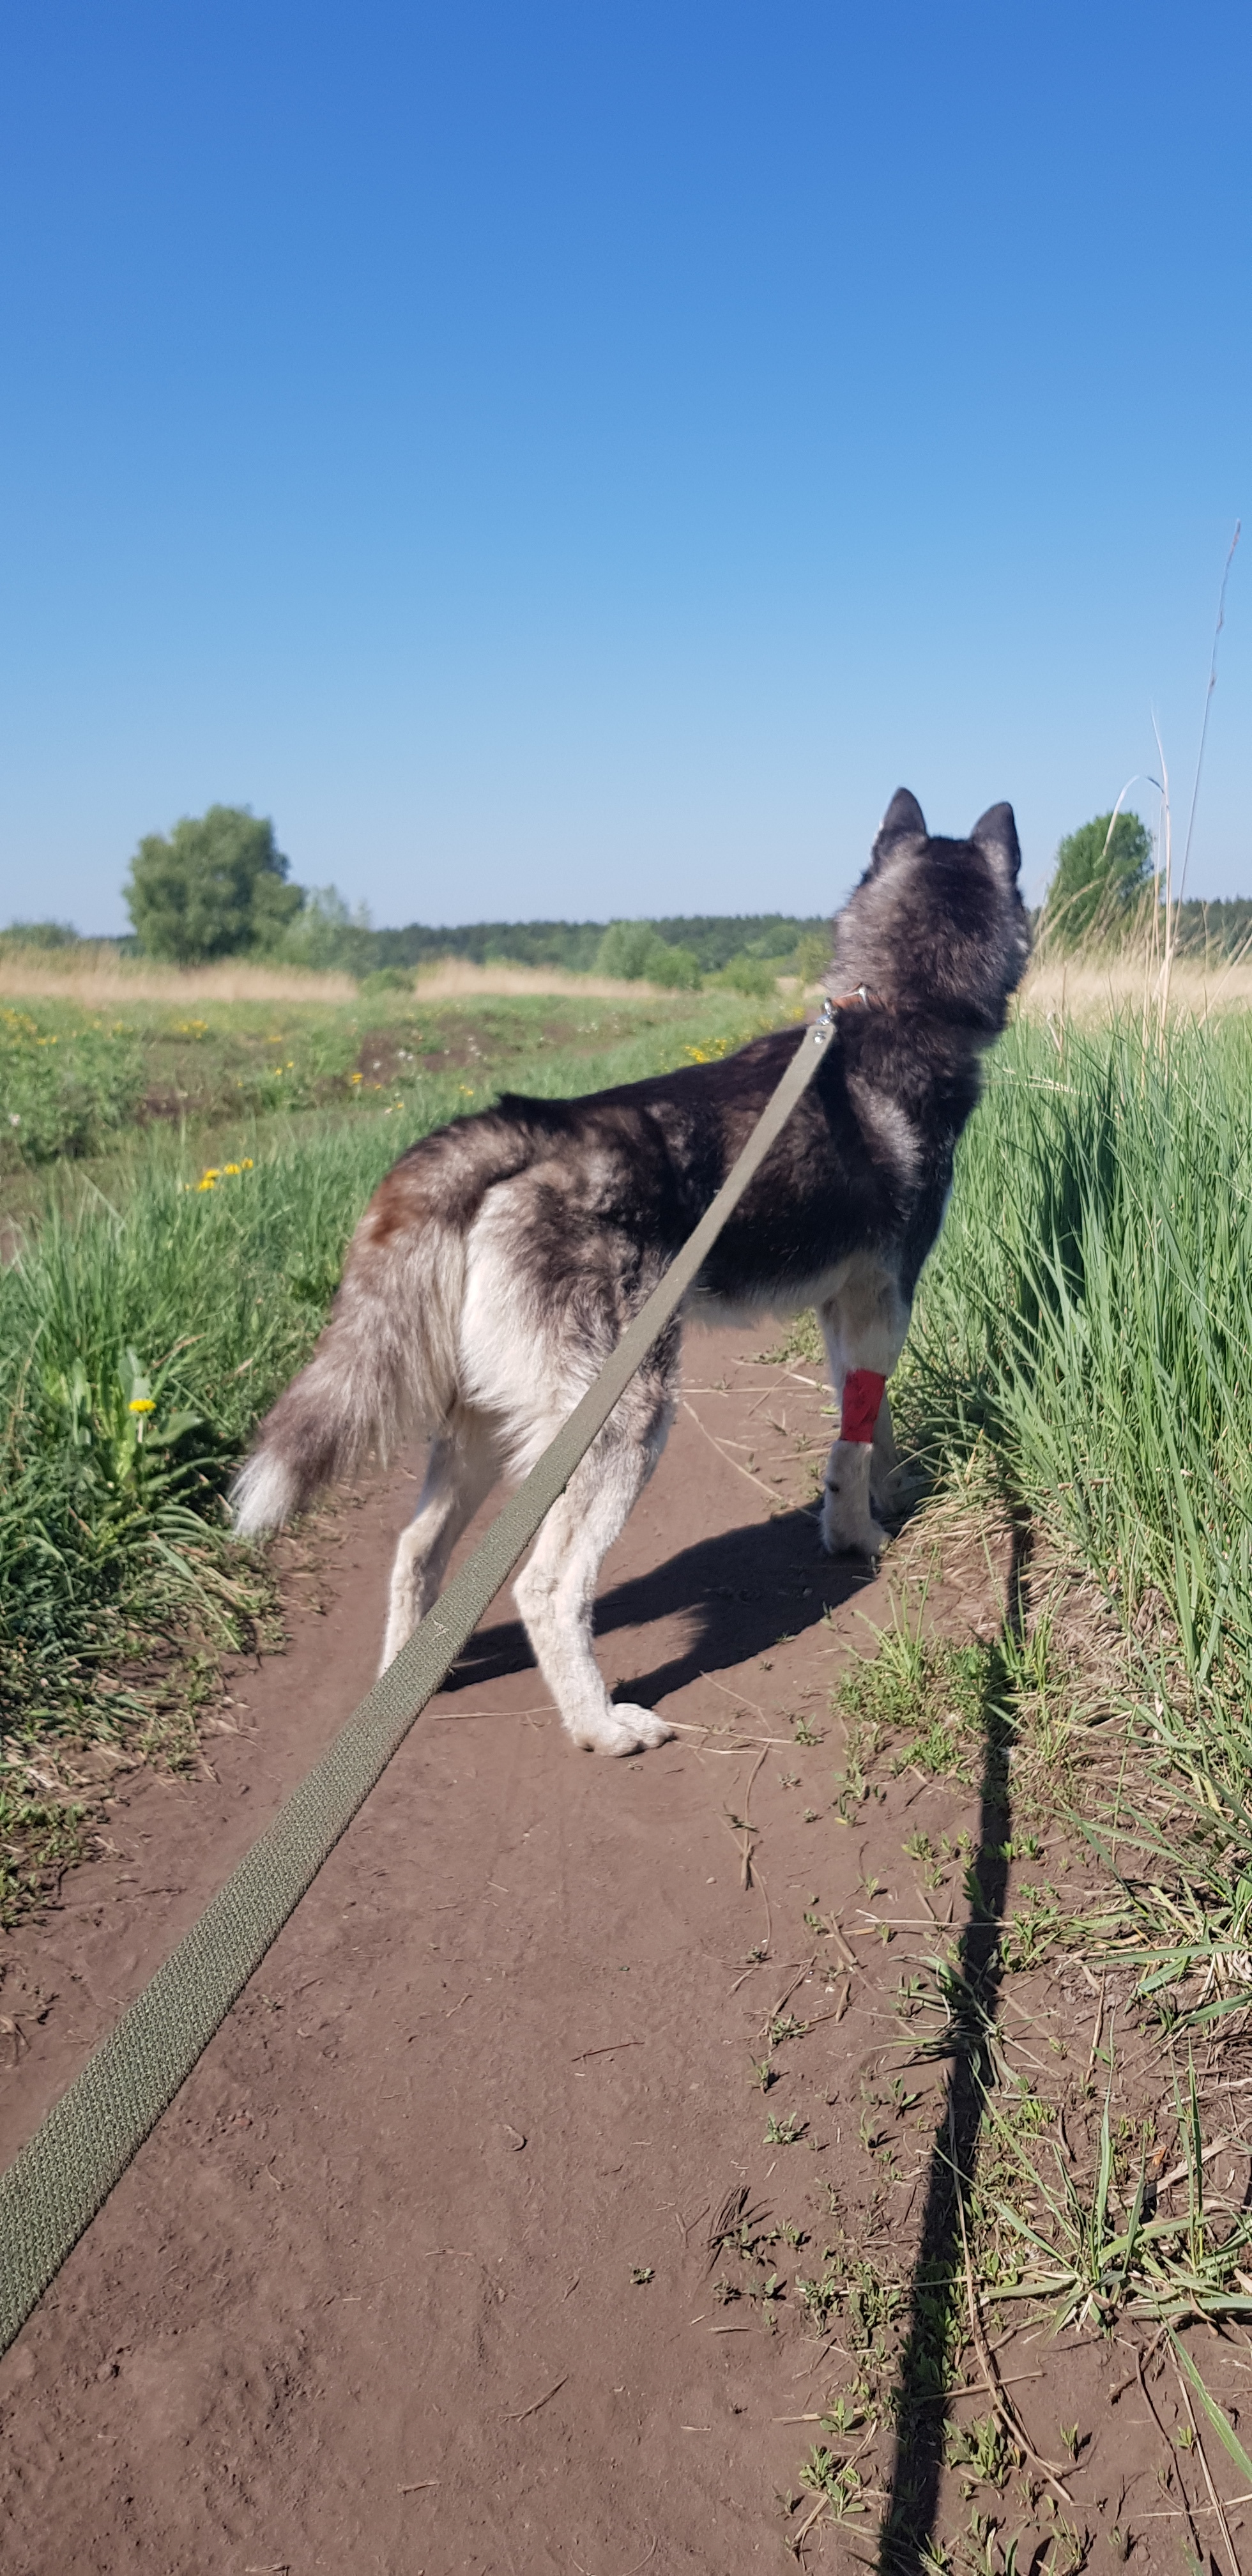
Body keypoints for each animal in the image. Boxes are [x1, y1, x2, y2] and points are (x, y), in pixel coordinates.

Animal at [231, 783, 1025, 1751]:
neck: (894, 1008)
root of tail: (532, 1128)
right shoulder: (885, 1301)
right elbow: (852, 1435)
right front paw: (856, 1534)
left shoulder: (846, 1312)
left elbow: (864, 1421)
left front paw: (887, 1489)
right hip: (627, 1418)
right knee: (546, 1587)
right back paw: (603, 1726)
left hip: (489, 1426)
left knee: (417, 1550)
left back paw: (412, 1677)